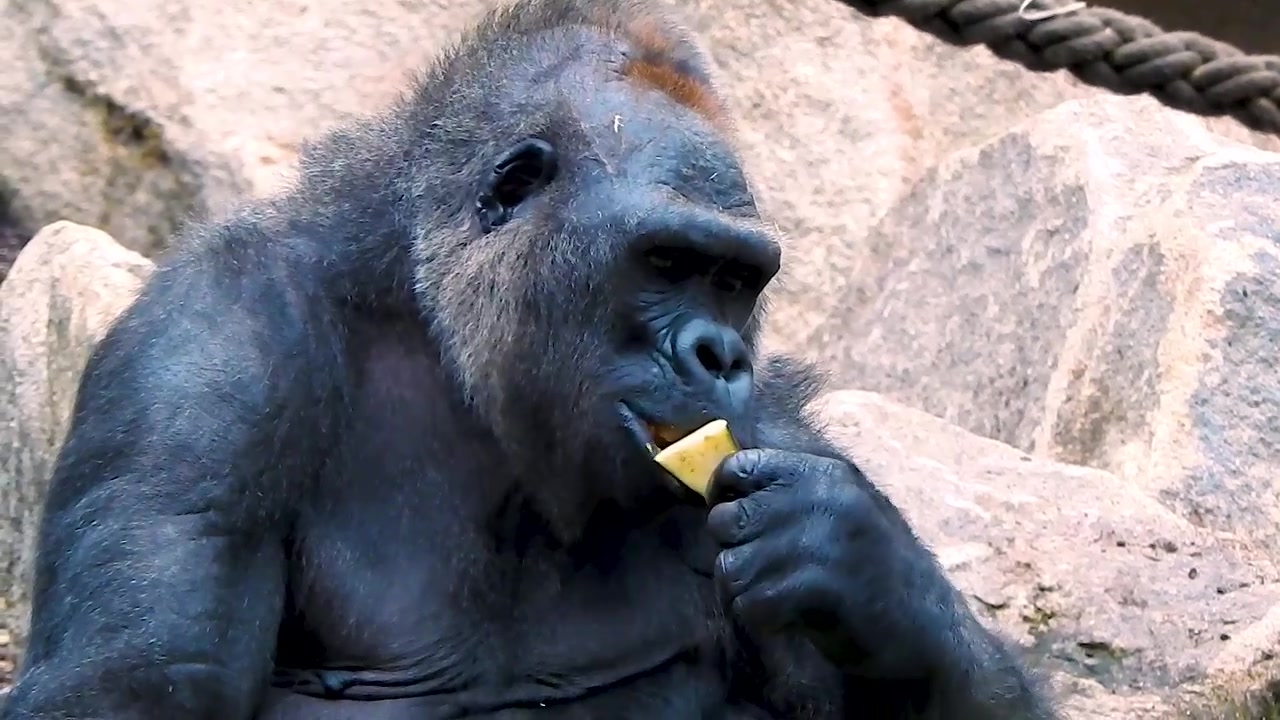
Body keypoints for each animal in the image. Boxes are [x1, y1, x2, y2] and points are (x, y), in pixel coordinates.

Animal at [0, 0, 1057, 718]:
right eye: (667, 262)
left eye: (734, 281)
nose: (719, 353)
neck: (448, 341)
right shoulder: (208, 353)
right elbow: (137, 680)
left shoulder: (776, 430)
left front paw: (866, 568)